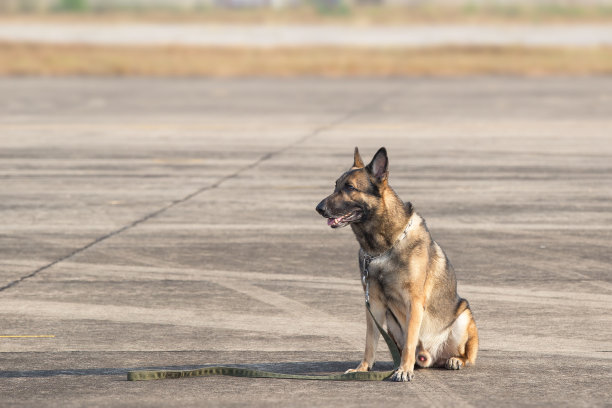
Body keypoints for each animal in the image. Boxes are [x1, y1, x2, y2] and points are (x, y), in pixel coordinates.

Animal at [316, 147, 478, 382]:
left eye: (350, 187)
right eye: (335, 185)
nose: (318, 208)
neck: (382, 249)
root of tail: (429, 357)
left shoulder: (414, 302)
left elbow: (410, 341)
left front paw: (404, 370)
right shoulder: (373, 304)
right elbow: (370, 342)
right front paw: (363, 368)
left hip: (463, 316)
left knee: (464, 354)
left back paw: (453, 360)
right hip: (392, 323)